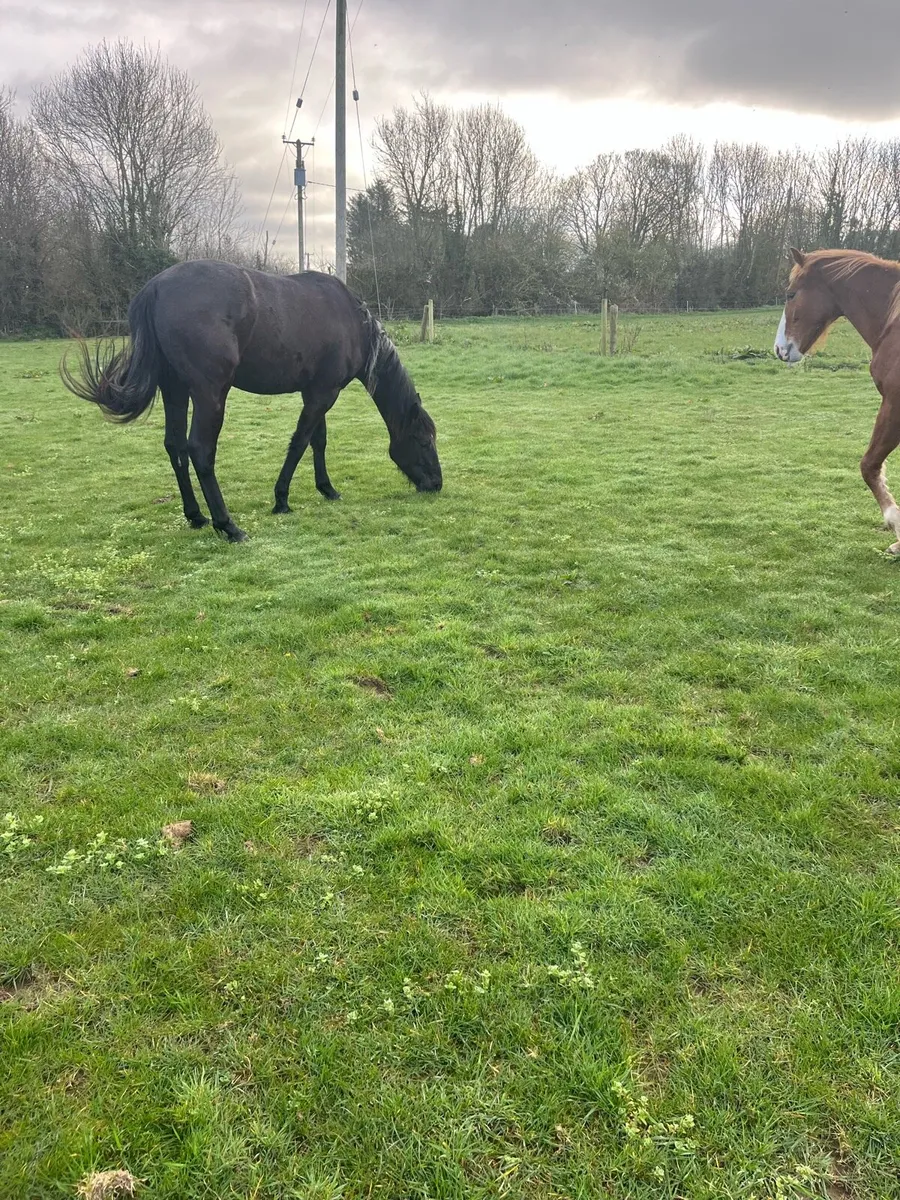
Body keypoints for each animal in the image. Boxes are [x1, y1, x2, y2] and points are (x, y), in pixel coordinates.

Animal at [61, 261, 442, 542]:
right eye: (423, 441)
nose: (436, 484)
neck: (352, 322)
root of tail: (155, 288)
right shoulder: (323, 394)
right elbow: (300, 443)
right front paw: (282, 500)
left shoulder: (316, 391)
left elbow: (318, 441)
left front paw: (327, 489)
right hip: (210, 394)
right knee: (199, 450)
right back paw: (227, 526)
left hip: (175, 389)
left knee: (175, 446)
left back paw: (196, 516)